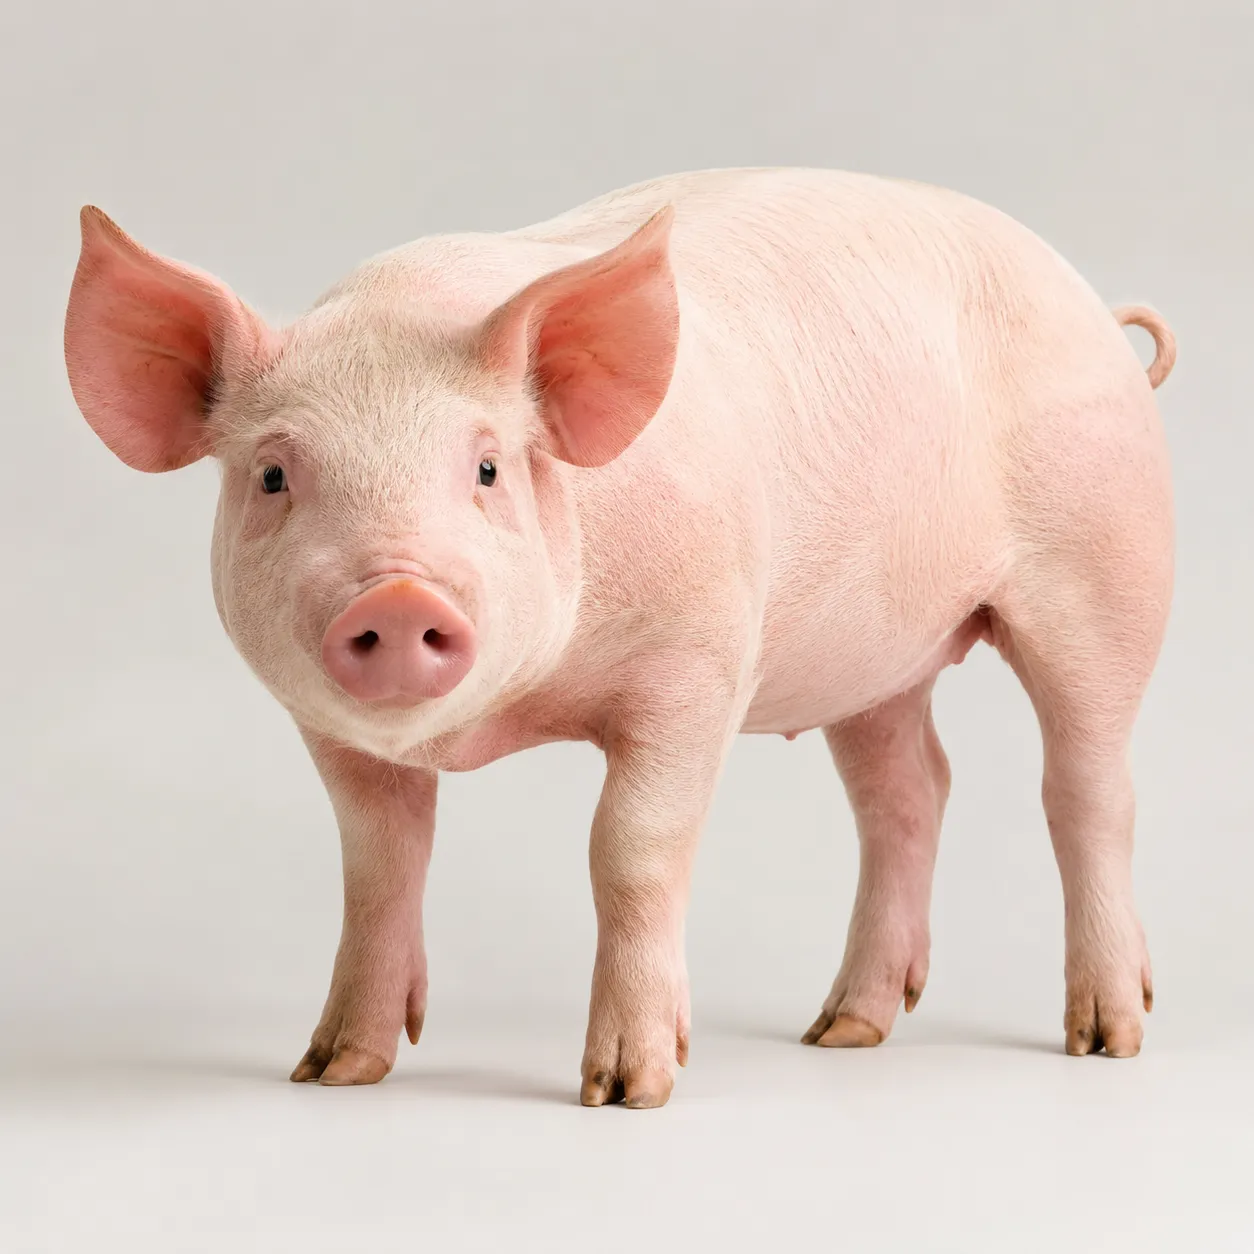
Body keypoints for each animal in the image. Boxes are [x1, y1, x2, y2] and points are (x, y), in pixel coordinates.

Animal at [63, 167, 1176, 1108]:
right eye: (273, 476)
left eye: (487, 468)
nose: (397, 594)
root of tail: (1097, 310)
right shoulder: (329, 732)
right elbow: (378, 866)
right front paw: (334, 1072)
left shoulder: (699, 658)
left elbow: (631, 847)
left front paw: (629, 1090)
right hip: (872, 654)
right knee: (909, 792)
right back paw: (843, 1032)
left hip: (1105, 568)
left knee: (1088, 786)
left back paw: (1107, 1039)